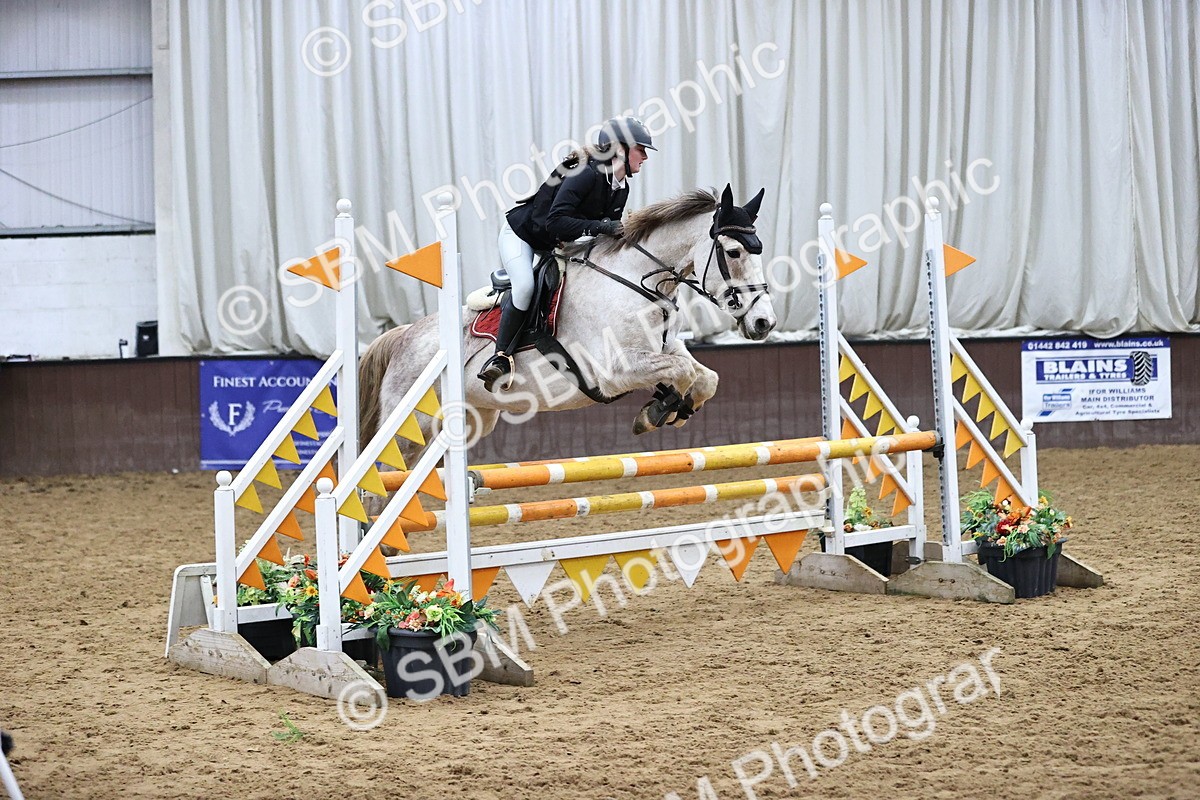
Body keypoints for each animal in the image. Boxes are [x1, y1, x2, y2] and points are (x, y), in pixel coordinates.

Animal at [357, 184, 777, 467]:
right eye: (734, 252)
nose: (764, 322)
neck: (635, 280)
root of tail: (403, 336)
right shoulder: (617, 370)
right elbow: (684, 372)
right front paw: (659, 410)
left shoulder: (664, 349)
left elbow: (704, 377)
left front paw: (668, 407)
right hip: (412, 427)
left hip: (471, 419)